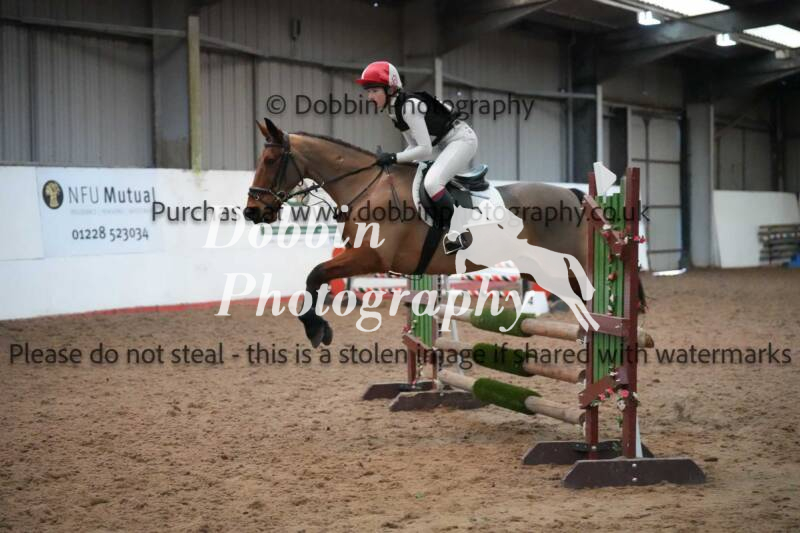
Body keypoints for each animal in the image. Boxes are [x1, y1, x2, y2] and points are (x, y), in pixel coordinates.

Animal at [244, 118, 589, 348]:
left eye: (271, 160)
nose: (252, 211)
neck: (365, 186)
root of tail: (572, 194)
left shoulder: (371, 257)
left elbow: (314, 274)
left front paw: (316, 329)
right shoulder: (361, 256)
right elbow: (315, 277)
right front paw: (316, 327)